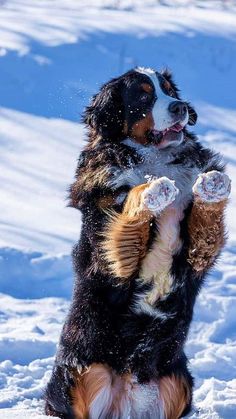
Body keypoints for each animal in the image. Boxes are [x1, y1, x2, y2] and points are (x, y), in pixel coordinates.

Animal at [44, 67, 230, 418]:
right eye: (144, 96)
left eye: (169, 90)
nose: (180, 107)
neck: (154, 160)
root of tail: (128, 398)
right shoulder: (115, 261)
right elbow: (129, 210)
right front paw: (152, 190)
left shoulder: (195, 255)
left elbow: (206, 226)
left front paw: (211, 186)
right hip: (81, 373)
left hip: (179, 381)